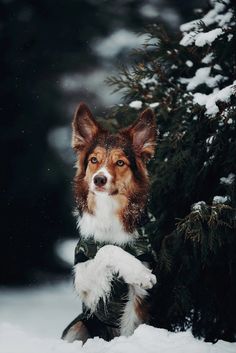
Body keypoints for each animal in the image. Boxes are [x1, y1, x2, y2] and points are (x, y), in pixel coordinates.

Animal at [62, 103, 158, 342]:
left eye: (120, 162)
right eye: (94, 160)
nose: (99, 179)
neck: (109, 211)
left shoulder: (138, 298)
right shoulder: (85, 284)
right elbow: (107, 249)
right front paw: (138, 273)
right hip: (77, 326)